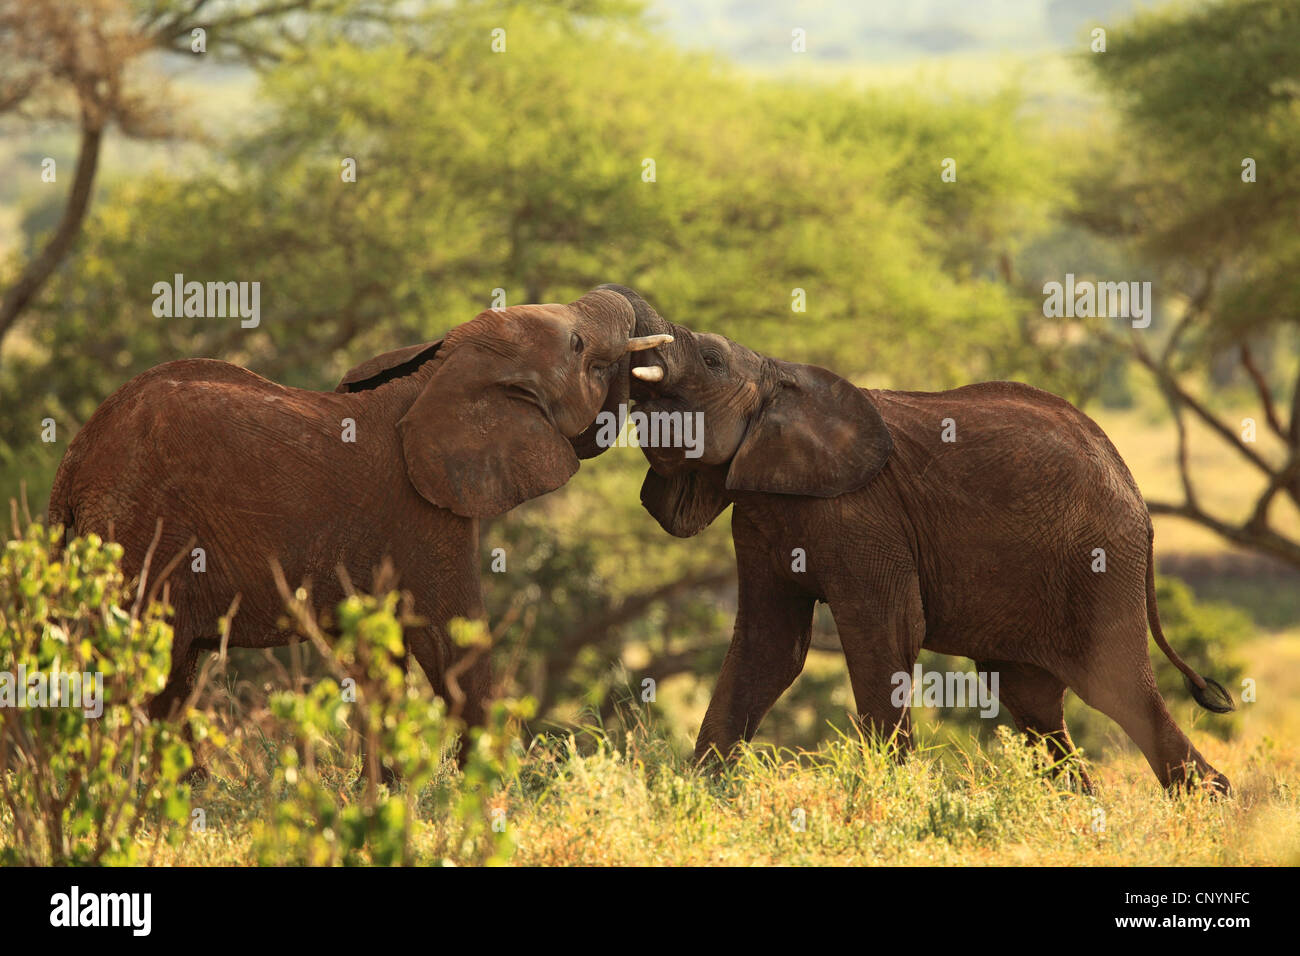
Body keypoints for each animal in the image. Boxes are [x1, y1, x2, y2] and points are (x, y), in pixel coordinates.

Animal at [44, 287, 665, 759]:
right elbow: (452, 649)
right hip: (137, 534)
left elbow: (385, 662)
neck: (441, 371)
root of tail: (74, 458)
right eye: (578, 345)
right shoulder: (423, 513)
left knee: (171, 679)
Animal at [595, 282, 1232, 790]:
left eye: (709, 358)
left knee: (1119, 690)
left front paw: (895, 793)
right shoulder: (756, 518)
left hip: (1099, 562)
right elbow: (768, 645)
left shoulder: (863, 515)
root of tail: (1138, 497)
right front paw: (699, 793)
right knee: (1032, 699)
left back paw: (1208, 804)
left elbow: (887, 631)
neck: (781, 376)